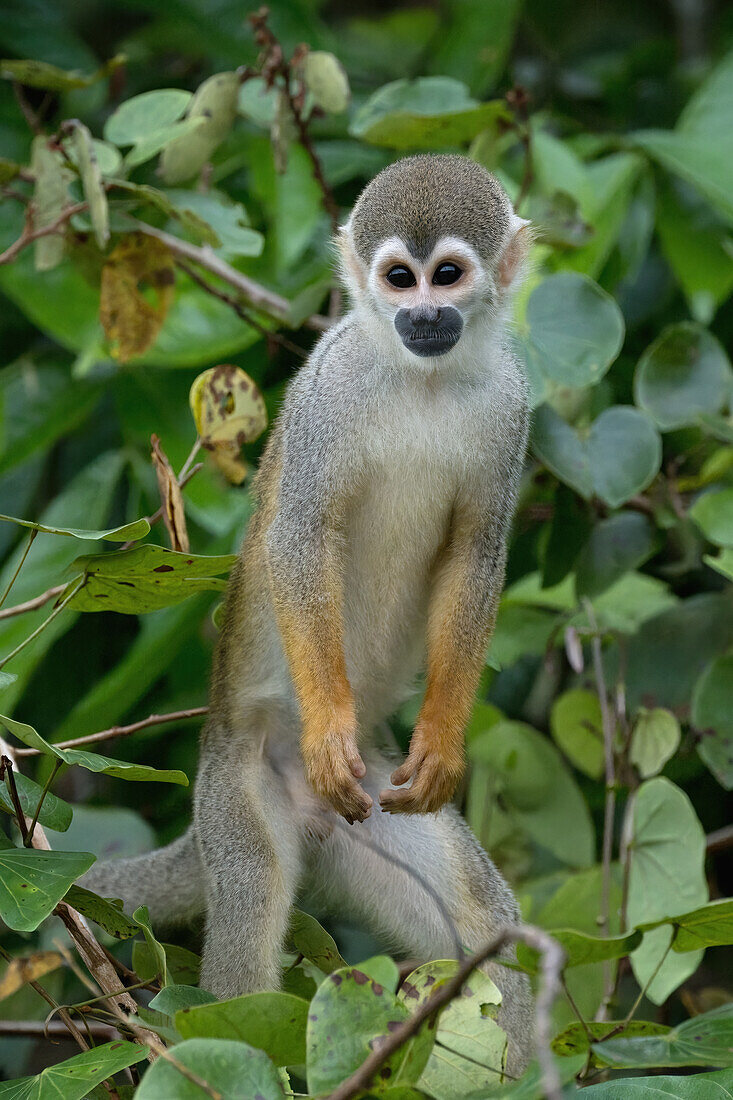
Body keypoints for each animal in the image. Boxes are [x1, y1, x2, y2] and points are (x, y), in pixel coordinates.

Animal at [84, 157, 530, 1073]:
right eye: (398, 278)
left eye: (448, 275)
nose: (421, 315)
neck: (423, 379)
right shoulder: (326, 389)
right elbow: (301, 534)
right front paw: (328, 728)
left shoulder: (511, 407)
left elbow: (476, 557)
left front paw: (443, 741)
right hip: (237, 790)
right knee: (249, 909)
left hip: (379, 802)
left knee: (485, 931)